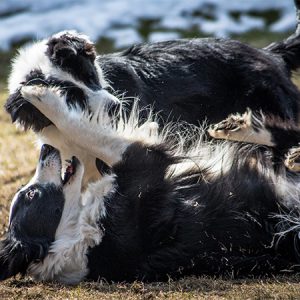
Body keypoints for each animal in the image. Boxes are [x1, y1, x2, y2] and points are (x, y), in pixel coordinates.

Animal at [1, 82, 300, 284]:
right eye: (31, 196)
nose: (45, 150)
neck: (75, 234)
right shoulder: (142, 161)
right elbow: (86, 131)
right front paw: (40, 94)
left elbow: (90, 139)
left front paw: (34, 93)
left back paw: (243, 130)